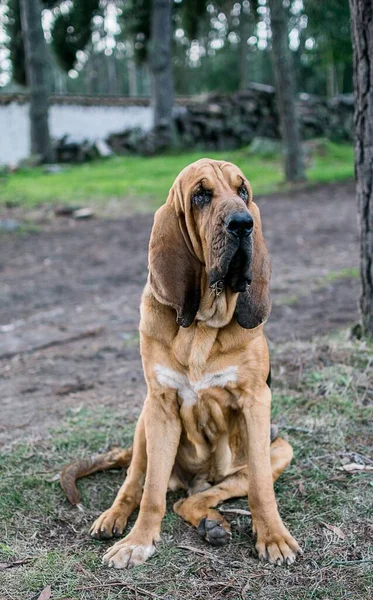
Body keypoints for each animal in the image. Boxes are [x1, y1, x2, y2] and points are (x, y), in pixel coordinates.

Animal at [60, 158, 300, 568]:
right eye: (200, 196)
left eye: (243, 191)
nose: (243, 224)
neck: (202, 323)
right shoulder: (161, 406)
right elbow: (152, 492)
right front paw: (138, 541)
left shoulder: (255, 401)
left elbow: (260, 487)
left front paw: (273, 536)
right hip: (143, 422)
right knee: (136, 482)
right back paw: (114, 517)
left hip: (279, 448)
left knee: (200, 496)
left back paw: (211, 523)